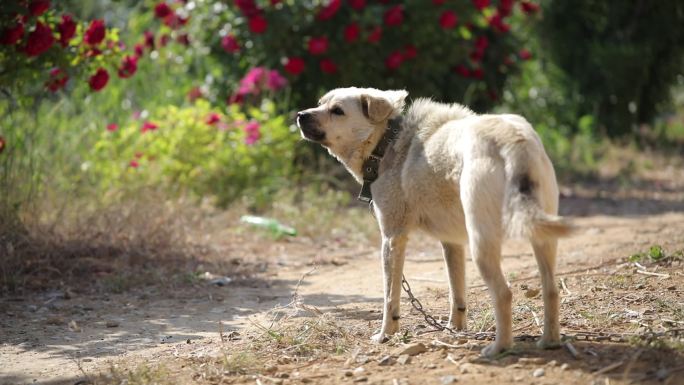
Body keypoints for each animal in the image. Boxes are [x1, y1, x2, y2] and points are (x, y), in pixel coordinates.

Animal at [296, 88, 576, 356]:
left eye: (337, 111)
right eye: (320, 103)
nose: (300, 115)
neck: (387, 142)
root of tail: (511, 138)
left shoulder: (392, 238)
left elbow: (389, 298)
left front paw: (386, 335)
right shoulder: (451, 243)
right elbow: (456, 293)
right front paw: (455, 328)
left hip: (482, 245)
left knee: (504, 293)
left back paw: (499, 348)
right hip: (542, 237)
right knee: (551, 289)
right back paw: (549, 341)